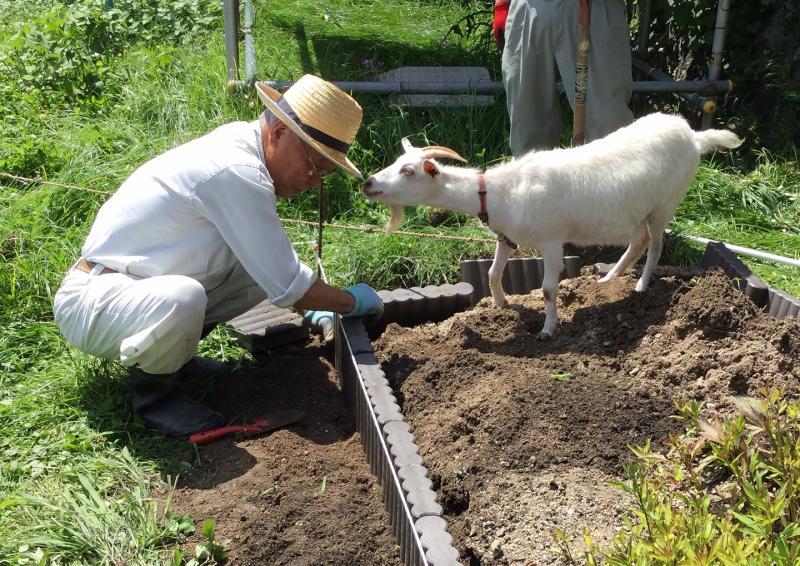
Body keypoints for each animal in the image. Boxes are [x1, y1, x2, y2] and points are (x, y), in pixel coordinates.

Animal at [362, 114, 744, 338]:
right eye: (398, 162)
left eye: (408, 171)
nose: (368, 183)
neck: (500, 191)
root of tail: (694, 136)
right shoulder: (507, 238)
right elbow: (492, 274)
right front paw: (500, 304)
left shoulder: (550, 242)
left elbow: (547, 289)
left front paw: (548, 328)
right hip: (633, 212)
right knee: (639, 240)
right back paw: (608, 279)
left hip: (666, 202)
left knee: (656, 244)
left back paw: (640, 286)